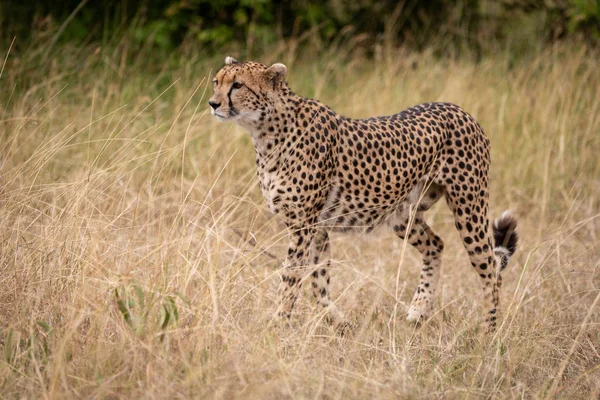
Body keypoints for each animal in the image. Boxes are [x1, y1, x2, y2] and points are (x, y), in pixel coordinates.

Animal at [209, 57, 516, 332]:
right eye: (216, 82)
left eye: (237, 85)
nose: (213, 104)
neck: (266, 131)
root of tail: (457, 108)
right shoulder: (317, 227)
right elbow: (318, 278)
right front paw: (336, 321)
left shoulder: (303, 225)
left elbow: (291, 276)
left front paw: (278, 324)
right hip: (401, 214)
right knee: (436, 244)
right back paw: (417, 310)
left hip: (469, 208)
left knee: (491, 270)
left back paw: (489, 331)